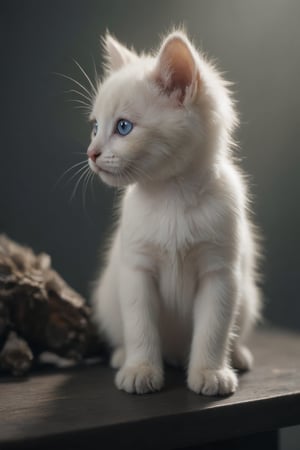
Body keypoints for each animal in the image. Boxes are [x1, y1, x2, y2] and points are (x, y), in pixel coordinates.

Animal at [86, 30, 260, 394]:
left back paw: (235, 356)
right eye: (95, 128)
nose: (91, 153)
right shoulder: (136, 270)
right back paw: (123, 357)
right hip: (108, 293)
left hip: (249, 295)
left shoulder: (220, 273)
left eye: (123, 127)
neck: (173, 196)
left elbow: (213, 329)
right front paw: (141, 369)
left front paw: (210, 372)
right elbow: (140, 327)